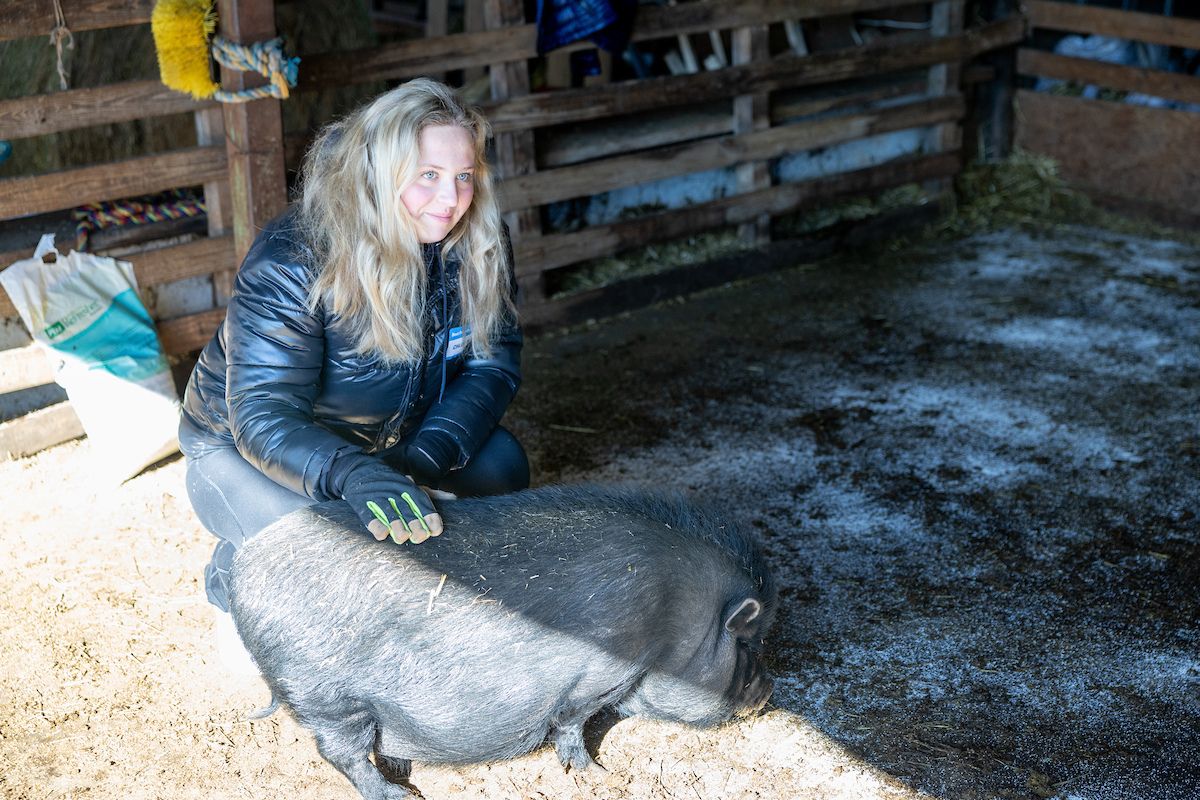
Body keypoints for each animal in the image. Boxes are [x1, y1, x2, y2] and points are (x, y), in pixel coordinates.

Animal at [226, 484, 777, 796]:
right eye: (748, 644)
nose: (771, 690)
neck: (674, 624)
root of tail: (242, 573)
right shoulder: (600, 673)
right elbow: (571, 723)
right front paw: (599, 775)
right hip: (328, 699)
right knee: (342, 754)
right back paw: (404, 796)